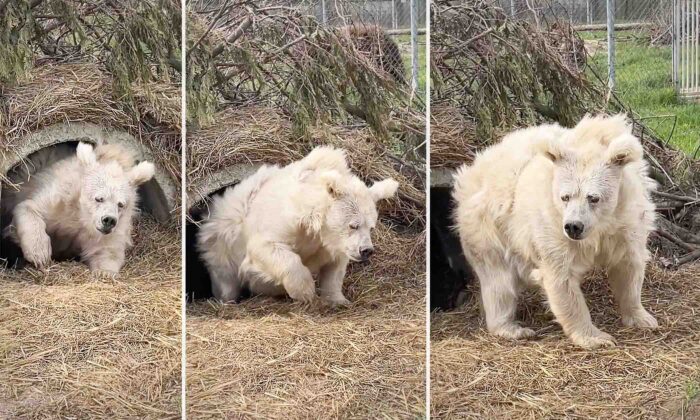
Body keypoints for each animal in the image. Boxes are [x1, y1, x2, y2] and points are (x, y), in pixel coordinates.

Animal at [4, 143, 156, 278]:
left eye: (120, 204)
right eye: (99, 198)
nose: (109, 220)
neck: (82, 215)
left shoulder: (114, 228)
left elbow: (107, 250)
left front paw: (104, 273)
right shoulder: (60, 200)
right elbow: (29, 207)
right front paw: (40, 254)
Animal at [197, 146, 400, 304]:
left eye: (371, 227)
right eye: (353, 225)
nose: (366, 250)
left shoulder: (332, 244)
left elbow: (334, 268)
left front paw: (339, 300)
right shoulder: (282, 221)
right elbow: (267, 247)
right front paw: (304, 290)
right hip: (222, 246)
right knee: (226, 280)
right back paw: (227, 299)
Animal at [452, 114, 660, 348]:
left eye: (593, 197)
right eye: (565, 196)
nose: (574, 226)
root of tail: (471, 171)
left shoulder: (628, 222)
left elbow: (629, 266)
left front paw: (643, 318)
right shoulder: (551, 225)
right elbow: (561, 279)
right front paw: (597, 338)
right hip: (489, 227)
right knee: (498, 282)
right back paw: (514, 329)